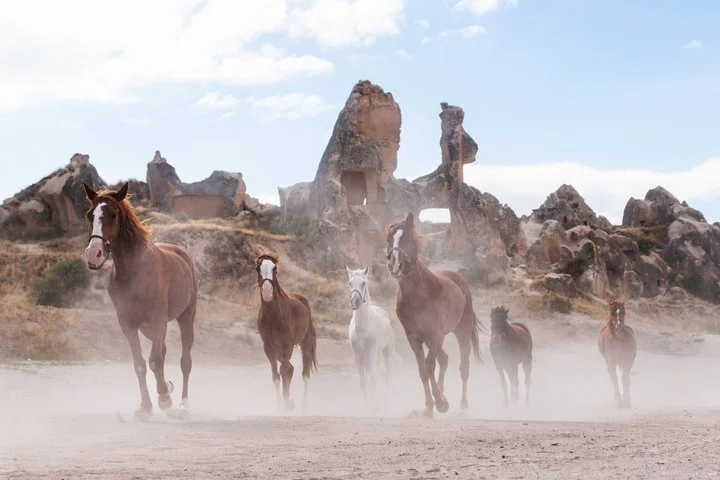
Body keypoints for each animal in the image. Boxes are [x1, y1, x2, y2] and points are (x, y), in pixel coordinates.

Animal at [83, 182, 197, 419]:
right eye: (90, 215)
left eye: (113, 215)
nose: (94, 254)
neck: (134, 271)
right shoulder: (128, 324)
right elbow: (140, 364)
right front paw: (145, 406)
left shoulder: (158, 320)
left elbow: (155, 360)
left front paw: (164, 398)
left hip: (186, 318)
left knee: (185, 361)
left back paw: (182, 404)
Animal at [255, 252, 318, 411]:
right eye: (258, 268)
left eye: (275, 269)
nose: (267, 291)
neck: (274, 316)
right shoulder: (269, 347)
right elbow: (276, 375)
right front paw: (280, 404)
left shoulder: (287, 346)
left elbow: (283, 371)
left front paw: (287, 402)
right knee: (290, 369)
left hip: (305, 344)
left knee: (304, 374)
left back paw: (304, 405)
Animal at [346, 266, 399, 407]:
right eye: (350, 283)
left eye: (363, 283)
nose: (355, 301)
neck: (362, 328)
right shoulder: (357, 356)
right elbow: (363, 381)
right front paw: (366, 403)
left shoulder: (371, 353)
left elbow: (373, 378)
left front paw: (375, 405)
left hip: (386, 352)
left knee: (388, 373)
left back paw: (387, 398)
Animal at [386, 212, 484, 418]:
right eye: (389, 238)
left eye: (406, 237)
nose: (395, 264)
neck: (419, 294)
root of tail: (461, 281)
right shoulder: (414, 337)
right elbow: (423, 370)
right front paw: (429, 406)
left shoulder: (436, 335)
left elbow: (430, 366)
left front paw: (440, 403)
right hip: (432, 340)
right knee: (444, 360)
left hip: (461, 332)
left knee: (463, 366)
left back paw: (463, 405)